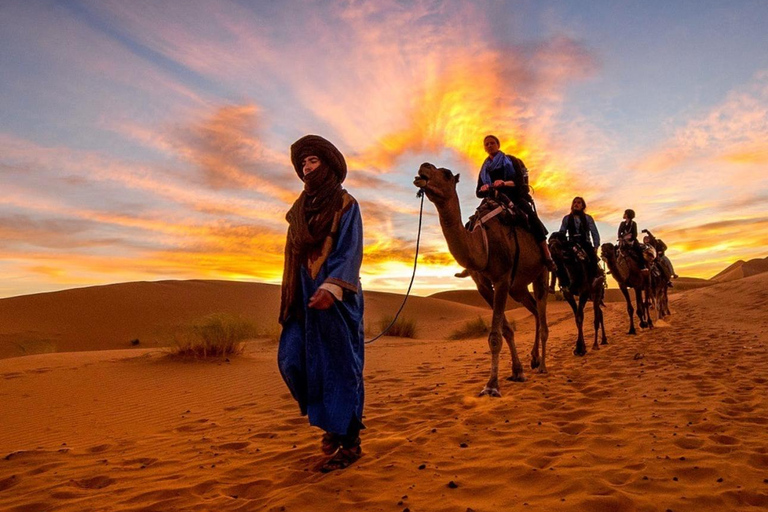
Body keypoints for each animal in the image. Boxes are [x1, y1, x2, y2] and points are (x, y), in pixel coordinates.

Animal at [412, 162, 548, 398]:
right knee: (535, 311)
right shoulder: (483, 285)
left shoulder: (502, 279)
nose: (424, 167)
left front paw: (492, 385)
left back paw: (542, 366)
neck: (482, 244)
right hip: (518, 287)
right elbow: (506, 330)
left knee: (542, 312)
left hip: (540, 274)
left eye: (446, 174)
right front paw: (517, 371)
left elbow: (495, 336)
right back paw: (534, 358)